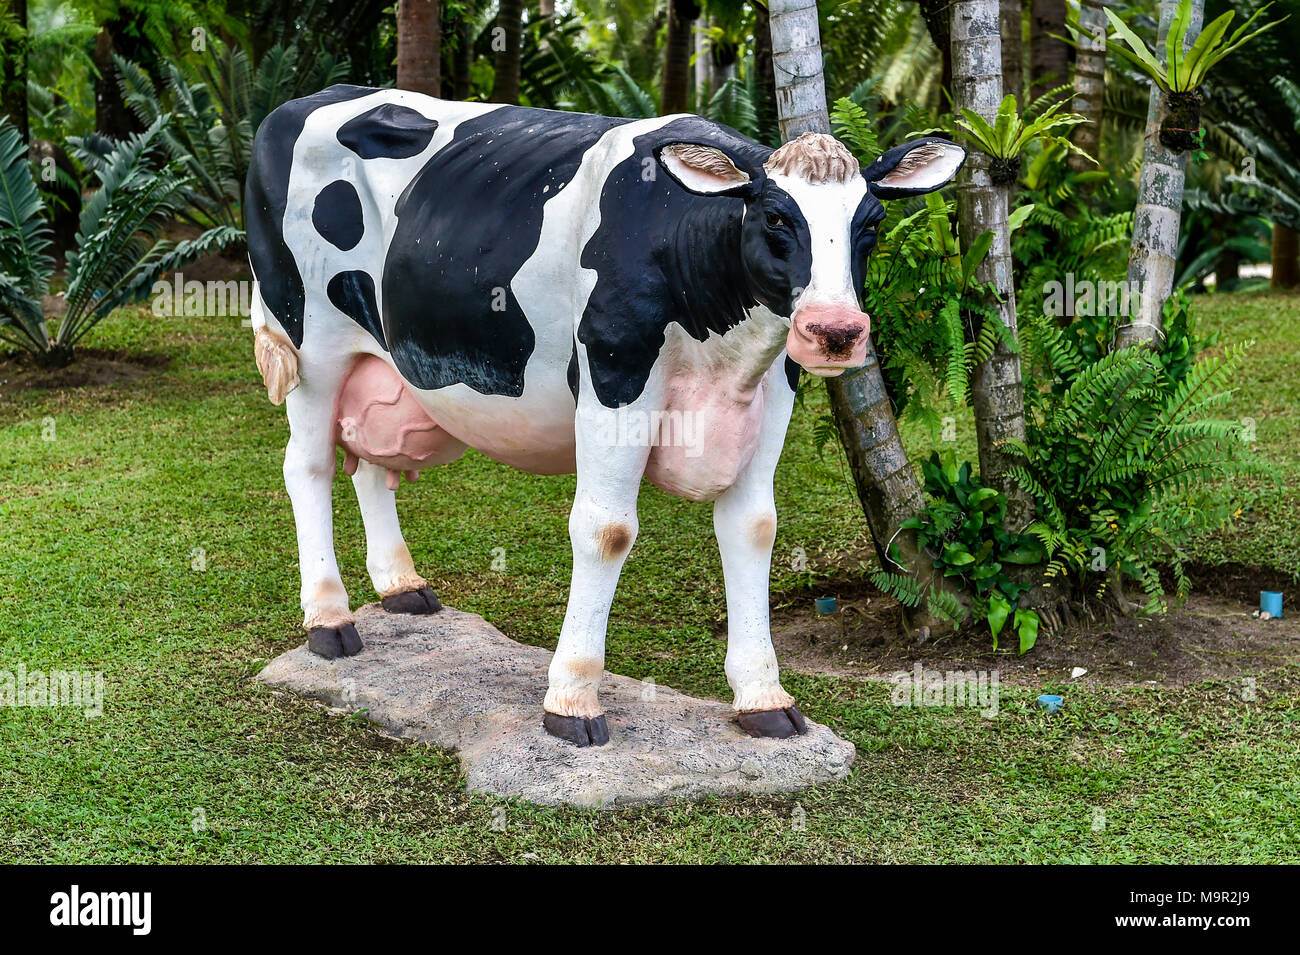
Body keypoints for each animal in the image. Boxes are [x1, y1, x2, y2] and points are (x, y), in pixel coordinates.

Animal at [245, 85, 967, 748]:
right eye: (774, 218)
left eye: (871, 222)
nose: (836, 331)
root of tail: (303, 101)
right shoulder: (615, 376)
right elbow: (607, 530)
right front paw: (572, 699)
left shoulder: (776, 389)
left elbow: (754, 527)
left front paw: (763, 696)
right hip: (310, 342)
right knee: (308, 465)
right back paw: (331, 619)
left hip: (388, 361)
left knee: (371, 462)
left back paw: (400, 585)